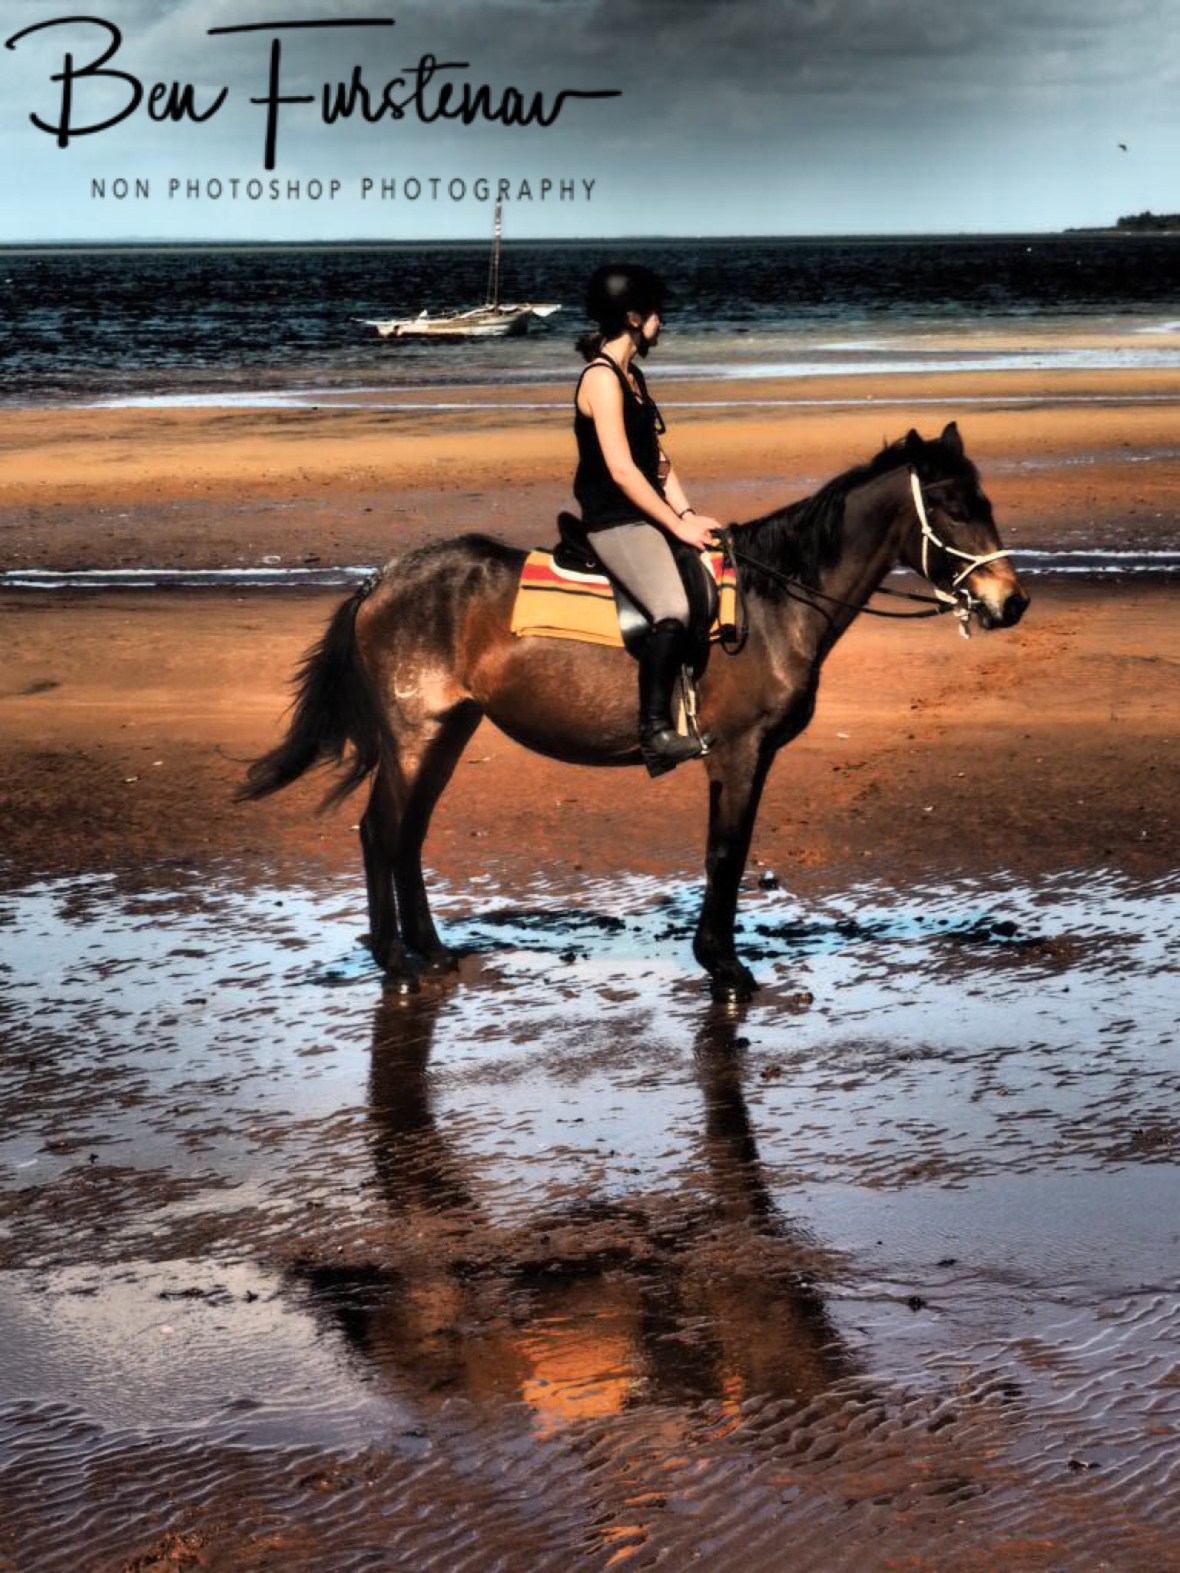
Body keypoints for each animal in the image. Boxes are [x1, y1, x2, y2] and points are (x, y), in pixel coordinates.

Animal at [240, 422, 1028, 1002]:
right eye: (953, 507)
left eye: (986, 502)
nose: (1011, 601)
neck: (773, 604)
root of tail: (379, 582)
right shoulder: (740, 752)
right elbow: (726, 854)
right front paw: (724, 967)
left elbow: (726, 854)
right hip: (414, 735)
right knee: (381, 833)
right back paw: (397, 965)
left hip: (447, 733)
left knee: (407, 837)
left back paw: (430, 952)